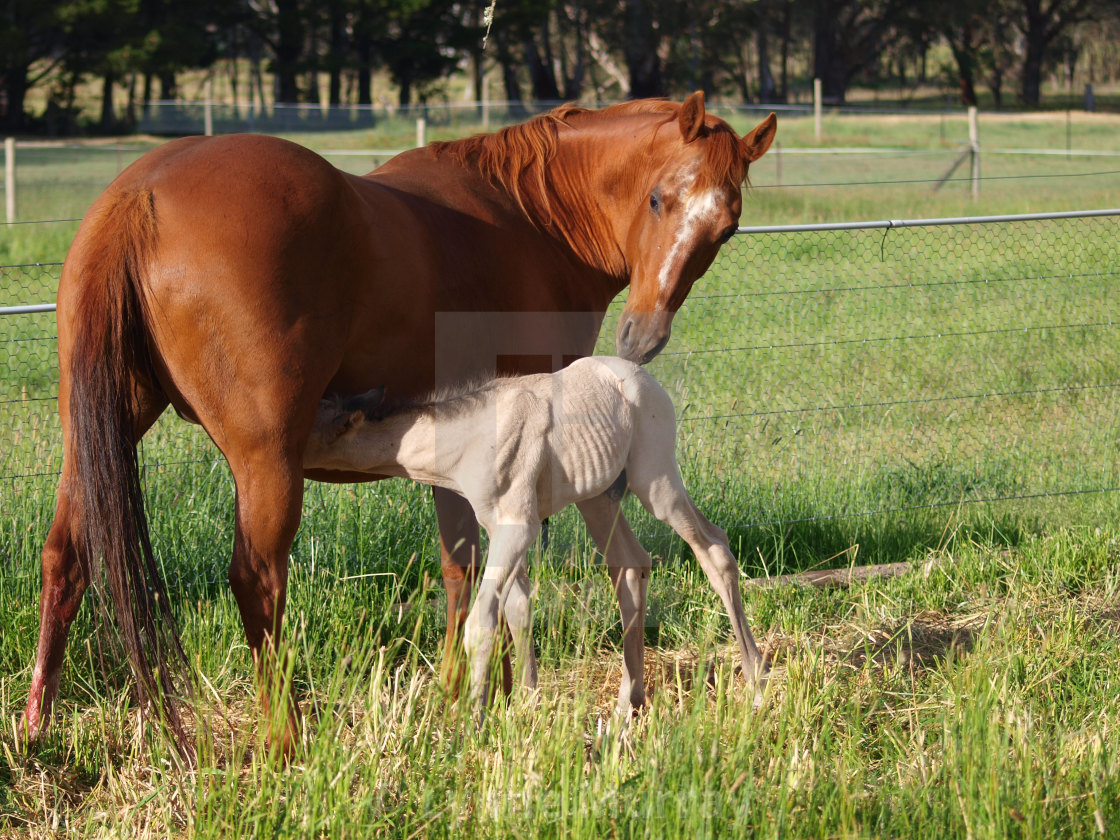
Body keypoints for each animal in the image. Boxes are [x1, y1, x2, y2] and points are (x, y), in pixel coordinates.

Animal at [302, 356, 766, 716]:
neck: (466, 443)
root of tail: (643, 377)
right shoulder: (500, 527)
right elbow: (519, 609)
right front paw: (527, 705)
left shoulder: (517, 527)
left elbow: (483, 620)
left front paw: (473, 723)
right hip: (597, 498)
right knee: (631, 564)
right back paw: (627, 701)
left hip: (656, 480)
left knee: (712, 547)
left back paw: (757, 680)